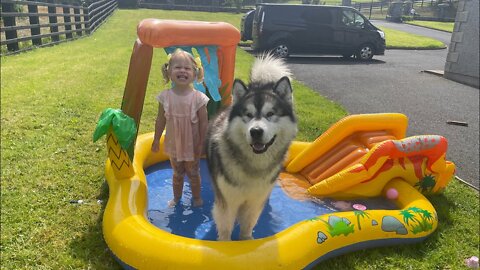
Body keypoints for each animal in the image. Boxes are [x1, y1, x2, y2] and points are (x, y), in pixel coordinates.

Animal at [205, 53, 296, 239]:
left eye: (270, 114)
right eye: (248, 114)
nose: (256, 131)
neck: (254, 165)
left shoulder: (255, 201)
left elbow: (248, 225)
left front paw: (247, 241)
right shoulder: (227, 202)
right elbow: (225, 229)